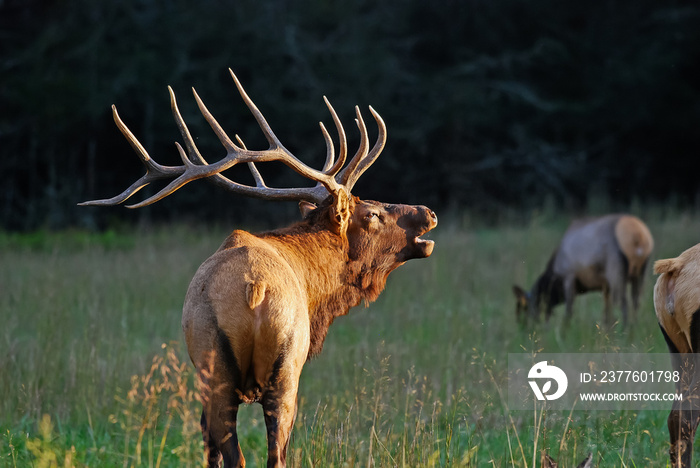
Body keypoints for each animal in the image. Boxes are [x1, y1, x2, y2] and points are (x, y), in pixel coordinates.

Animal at [78, 70, 438, 468]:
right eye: (372, 214)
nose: (427, 212)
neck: (315, 294)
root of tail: (256, 288)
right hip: (283, 372)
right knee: (263, 454)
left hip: (220, 374)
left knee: (240, 453)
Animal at [512, 214, 652, 328]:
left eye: (524, 308)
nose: (522, 328)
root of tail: (638, 236)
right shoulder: (605, 286)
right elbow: (607, 315)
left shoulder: (569, 276)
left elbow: (569, 311)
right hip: (640, 273)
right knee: (636, 302)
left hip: (616, 271)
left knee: (623, 303)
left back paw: (625, 330)